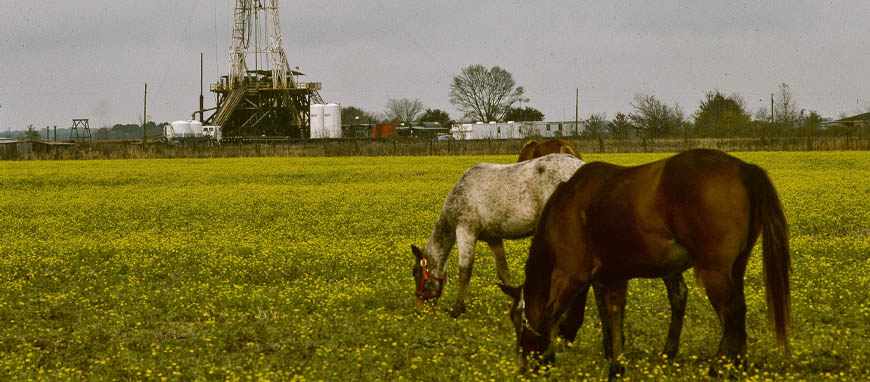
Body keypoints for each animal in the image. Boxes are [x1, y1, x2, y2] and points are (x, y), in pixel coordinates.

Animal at [410, 152, 584, 316]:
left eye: (415, 272)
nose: (419, 309)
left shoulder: (466, 231)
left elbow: (464, 271)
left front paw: (457, 309)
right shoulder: (493, 239)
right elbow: (503, 270)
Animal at [498, 149, 792, 380]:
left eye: (515, 318)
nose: (523, 363)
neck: (566, 206)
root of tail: (744, 169)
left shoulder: (570, 275)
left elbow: (551, 313)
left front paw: (547, 358)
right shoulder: (612, 277)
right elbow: (613, 314)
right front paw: (616, 364)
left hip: (714, 271)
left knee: (732, 313)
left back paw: (722, 367)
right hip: (734, 269)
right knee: (734, 313)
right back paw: (733, 365)